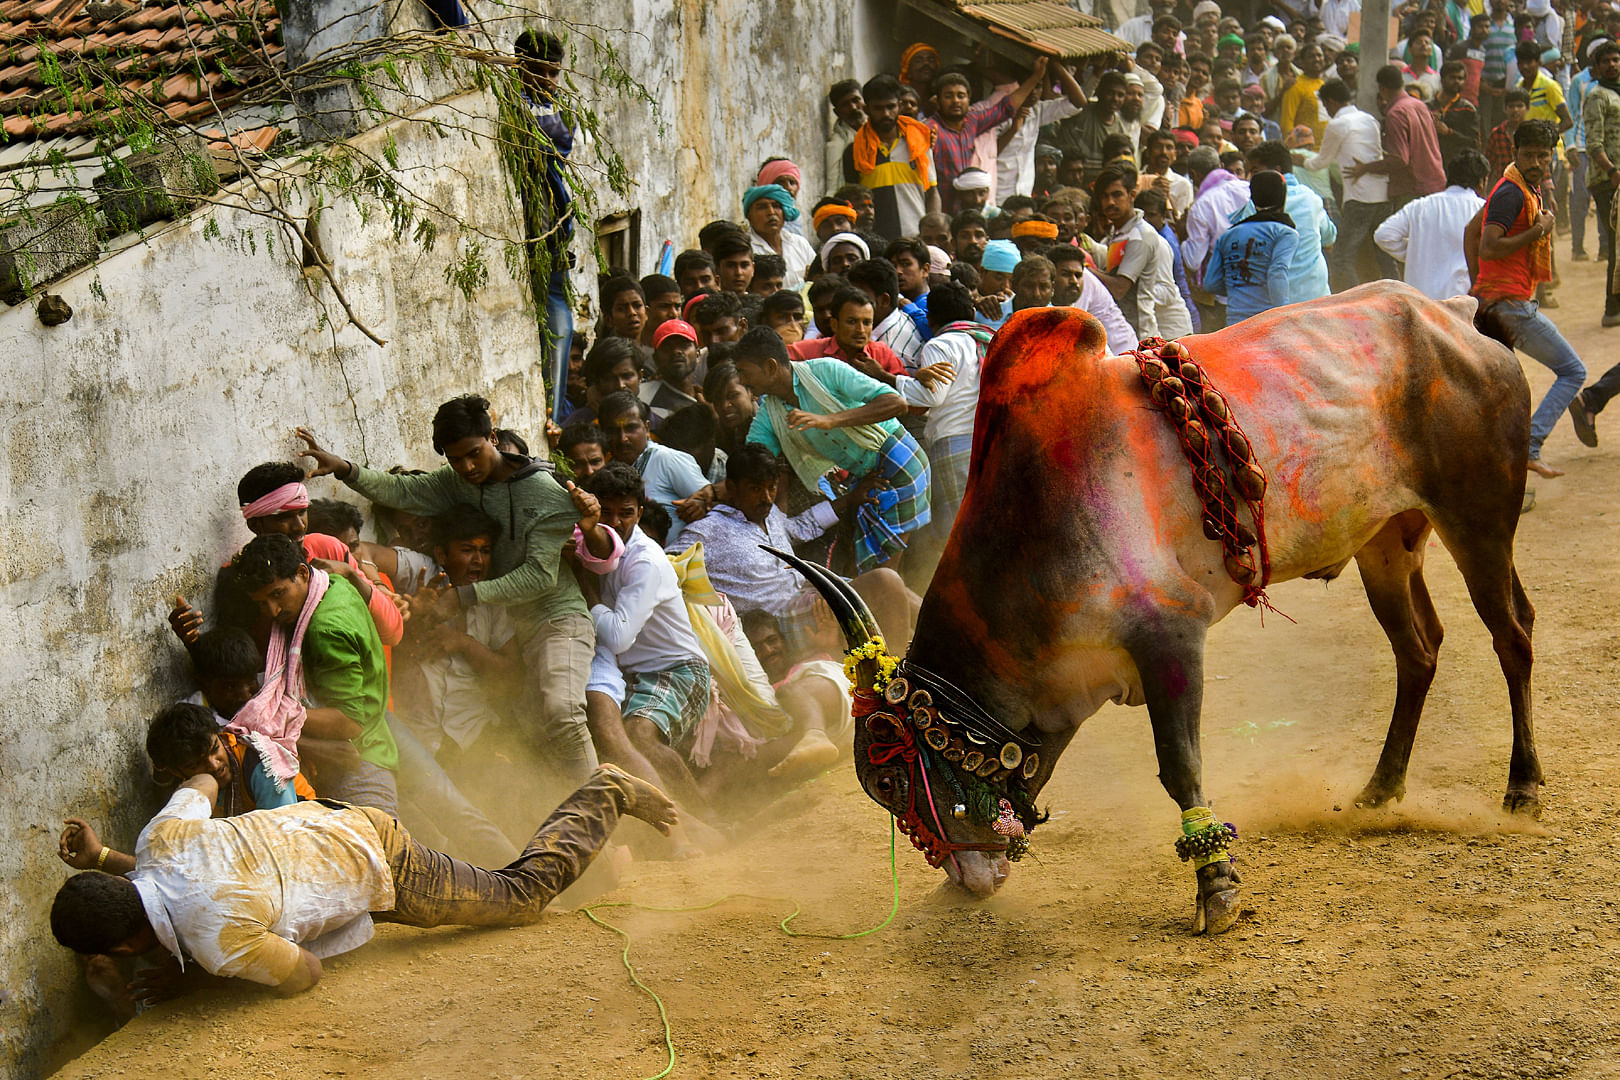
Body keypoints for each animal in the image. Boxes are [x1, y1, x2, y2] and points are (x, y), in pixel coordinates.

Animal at [784, 283, 1542, 932]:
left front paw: (1218, 887)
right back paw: (1381, 787)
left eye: (887, 776)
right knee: (1419, 649)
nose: (969, 881)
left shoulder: (1171, 635)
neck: (1029, 533)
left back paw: (1523, 786)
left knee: (1512, 635)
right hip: (1385, 542)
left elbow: (1179, 767)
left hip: (1478, 518)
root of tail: (1458, 315)